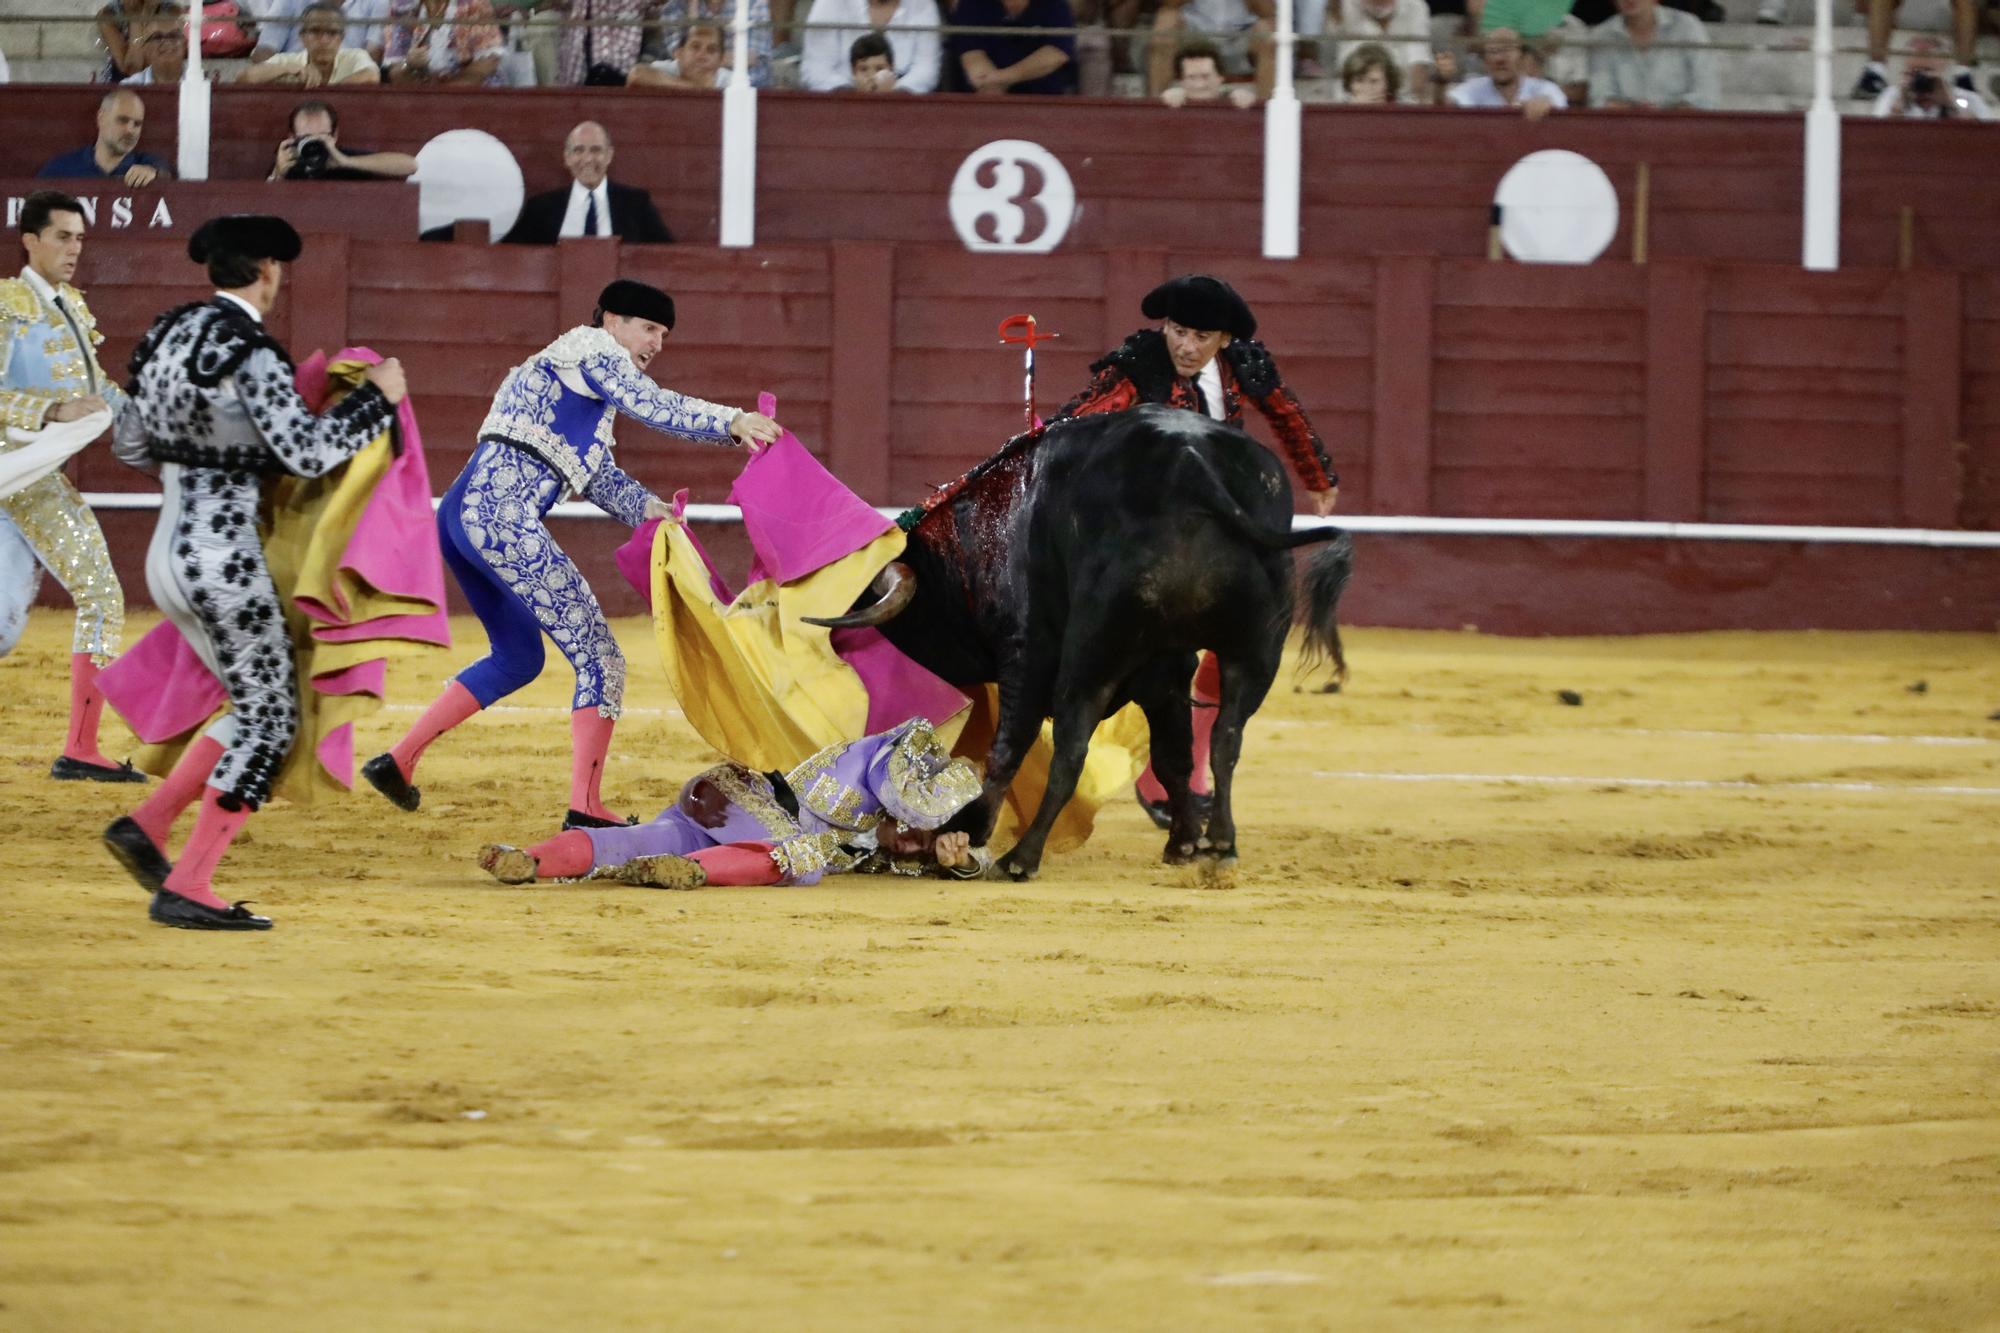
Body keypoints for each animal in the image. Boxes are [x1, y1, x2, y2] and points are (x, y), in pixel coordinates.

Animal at [812, 404, 1360, 880]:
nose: (836, 645)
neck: (971, 541)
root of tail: (1191, 459)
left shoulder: (1026, 652)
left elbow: (1009, 746)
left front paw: (973, 830)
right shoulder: (1166, 668)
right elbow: (1173, 756)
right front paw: (1183, 842)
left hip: (1091, 653)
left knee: (1070, 750)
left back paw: (1023, 857)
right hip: (1255, 648)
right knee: (1227, 736)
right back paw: (1221, 843)